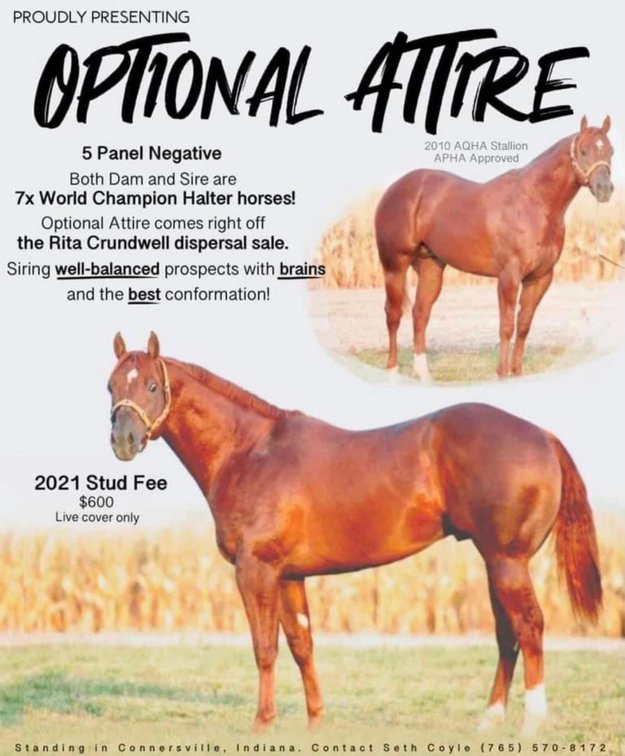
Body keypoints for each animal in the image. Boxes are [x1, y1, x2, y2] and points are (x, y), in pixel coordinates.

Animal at [108, 333, 602, 734]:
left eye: (152, 386)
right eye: (111, 386)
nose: (123, 441)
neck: (249, 451)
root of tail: (544, 436)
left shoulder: (255, 571)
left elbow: (264, 647)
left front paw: (262, 724)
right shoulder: (290, 575)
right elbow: (302, 645)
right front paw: (314, 723)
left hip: (506, 561)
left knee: (530, 626)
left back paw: (532, 724)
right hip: (497, 562)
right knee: (507, 634)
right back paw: (489, 722)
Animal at [376, 116, 614, 382]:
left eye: (611, 151)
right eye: (584, 151)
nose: (604, 189)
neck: (533, 202)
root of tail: (395, 188)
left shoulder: (540, 277)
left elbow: (524, 325)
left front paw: (517, 372)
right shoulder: (509, 276)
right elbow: (507, 326)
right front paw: (502, 373)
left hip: (431, 267)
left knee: (420, 313)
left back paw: (424, 375)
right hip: (394, 265)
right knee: (393, 313)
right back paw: (393, 371)